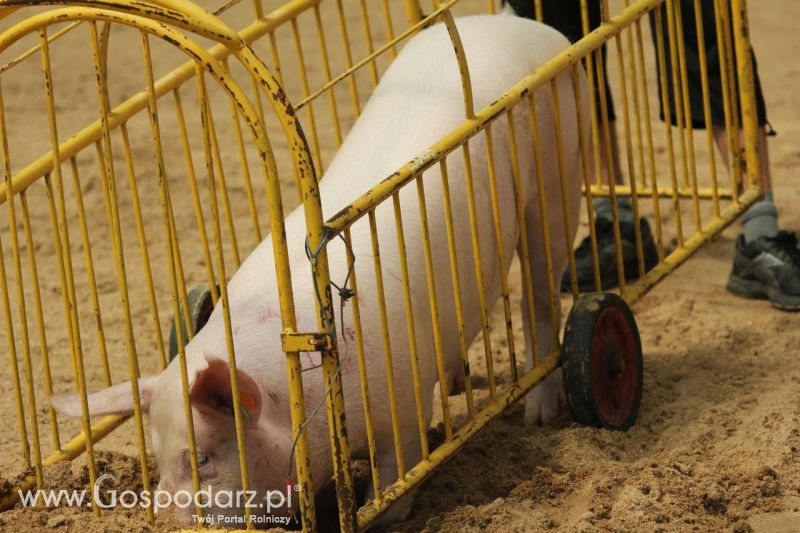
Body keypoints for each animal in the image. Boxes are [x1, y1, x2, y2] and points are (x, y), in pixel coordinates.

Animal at [53, 13, 584, 528]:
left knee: (539, 296)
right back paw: (458, 381)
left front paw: (381, 512)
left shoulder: (405, 408)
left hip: (557, 173)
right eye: (158, 458)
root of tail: (510, 22)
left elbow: (394, 482)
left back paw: (539, 417)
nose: (166, 519)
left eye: (203, 458)